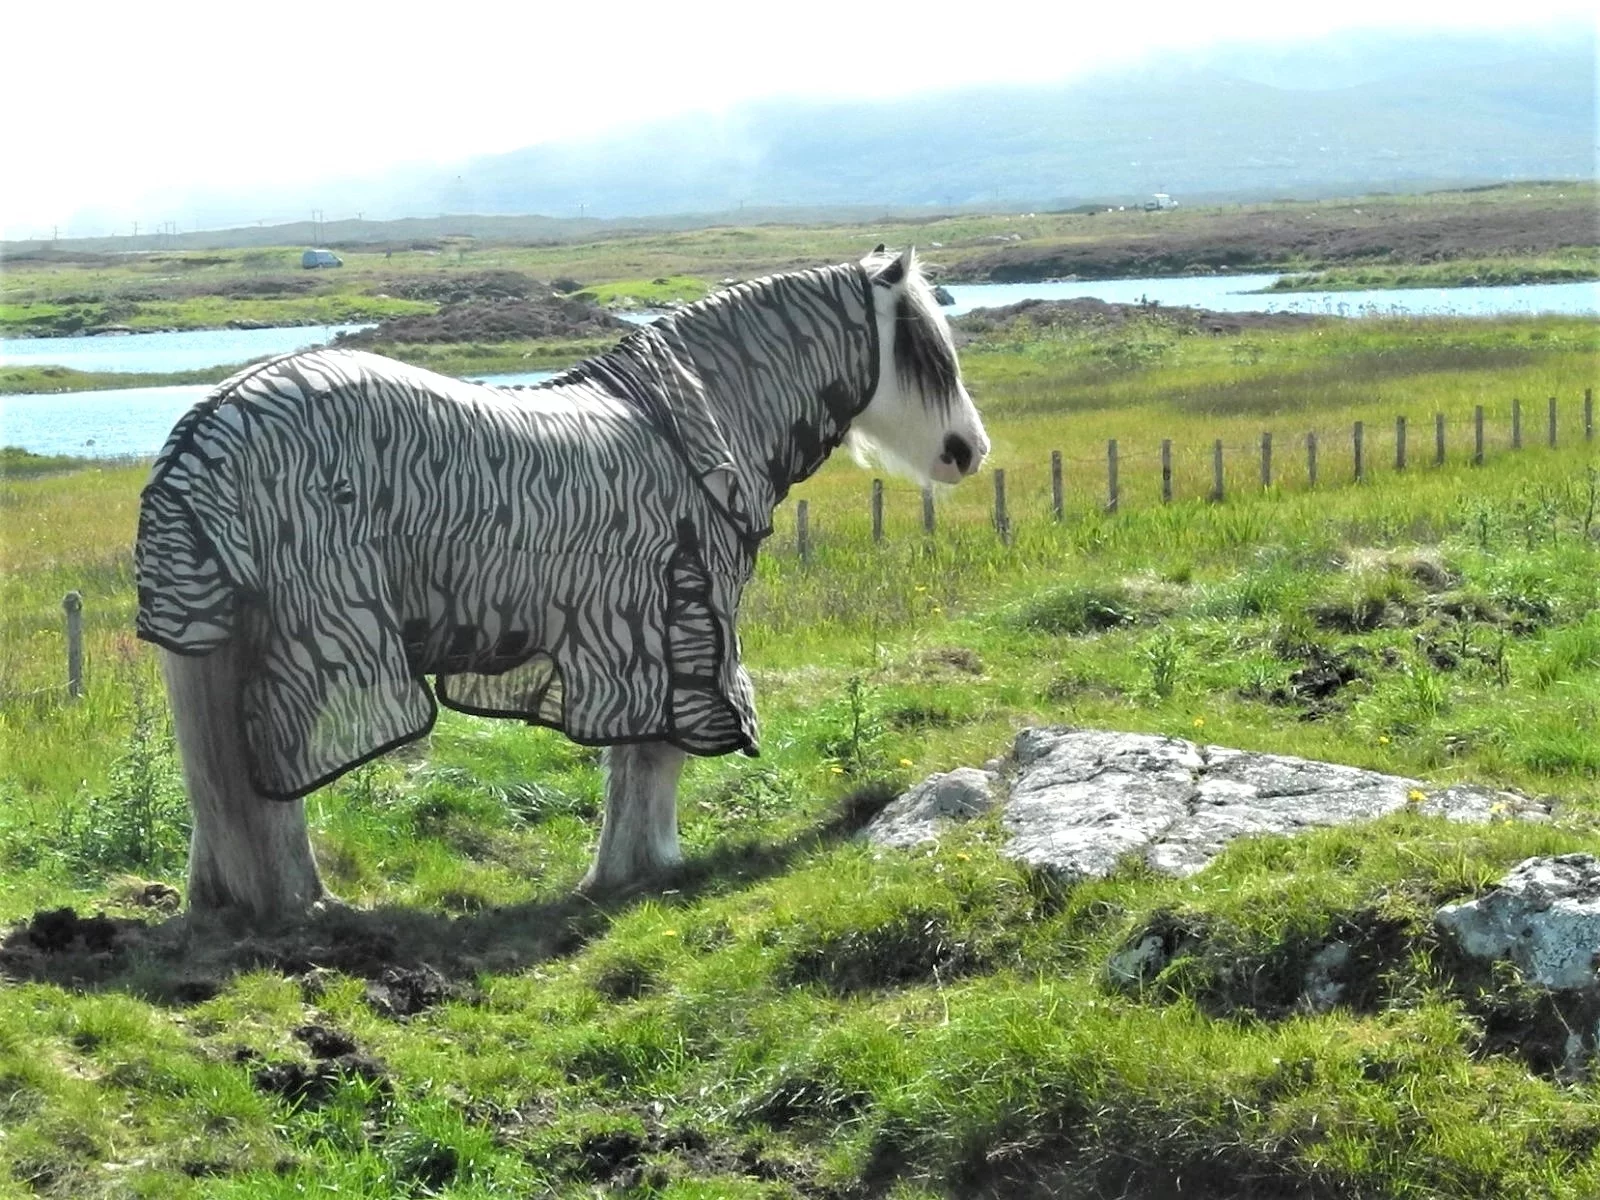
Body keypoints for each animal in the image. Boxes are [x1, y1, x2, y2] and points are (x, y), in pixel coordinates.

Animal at [135, 246, 989, 926]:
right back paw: (307, 905)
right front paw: (653, 866)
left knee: (232, 800)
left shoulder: (647, 642)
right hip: (317, 646)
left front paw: (624, 870)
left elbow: (633, 766)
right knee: (275, 791)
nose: (967, 452)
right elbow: (656, 762)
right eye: (921, 349)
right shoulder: (680, 635)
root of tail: (206, 429)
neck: (690, 427)